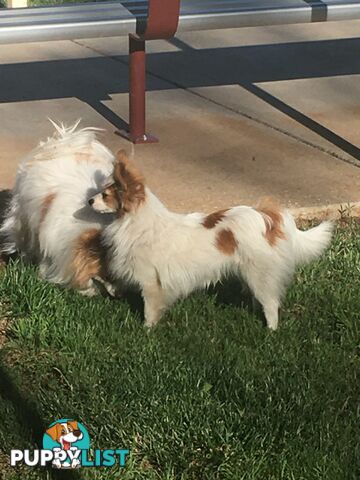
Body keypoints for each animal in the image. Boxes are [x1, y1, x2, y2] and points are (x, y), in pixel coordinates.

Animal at [89, 151, 332, 330]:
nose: (89, 200)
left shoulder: (150, 282)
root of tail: (266, 215)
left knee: (271, 304)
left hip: (260, 275)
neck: (135, 221)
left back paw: (270, 331)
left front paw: (146, 330)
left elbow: (150, 309)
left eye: (105, 195)